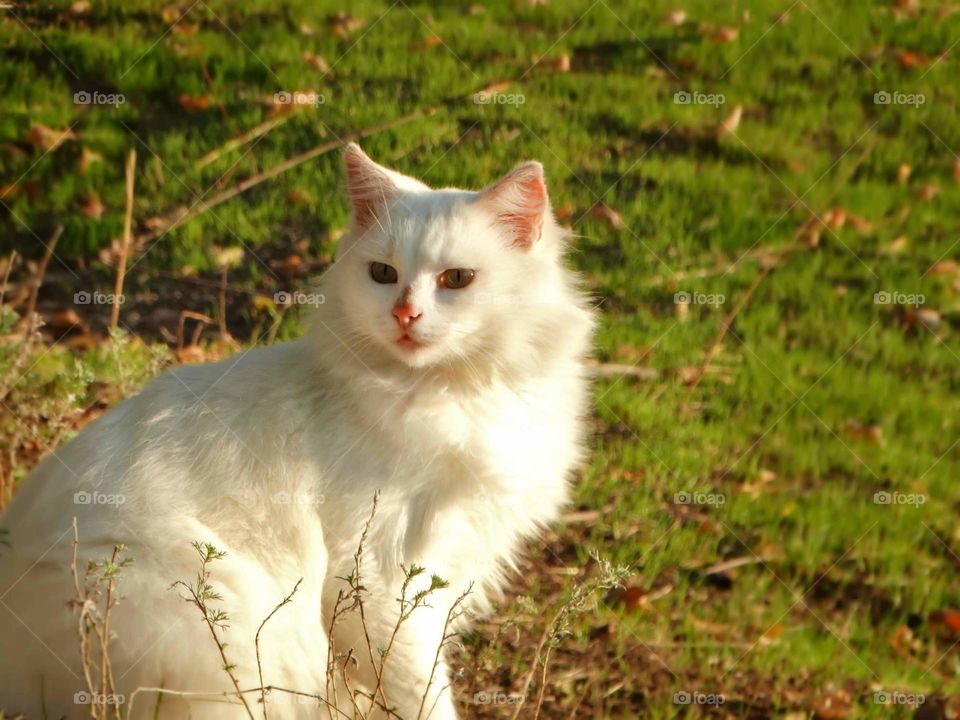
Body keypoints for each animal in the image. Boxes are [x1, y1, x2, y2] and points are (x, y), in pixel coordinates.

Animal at [0, 143, 592, 716]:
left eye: (458, 280)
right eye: (383, 275)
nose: (404, 315)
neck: (451, 394)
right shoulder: (380, 576)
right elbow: (422, 695)